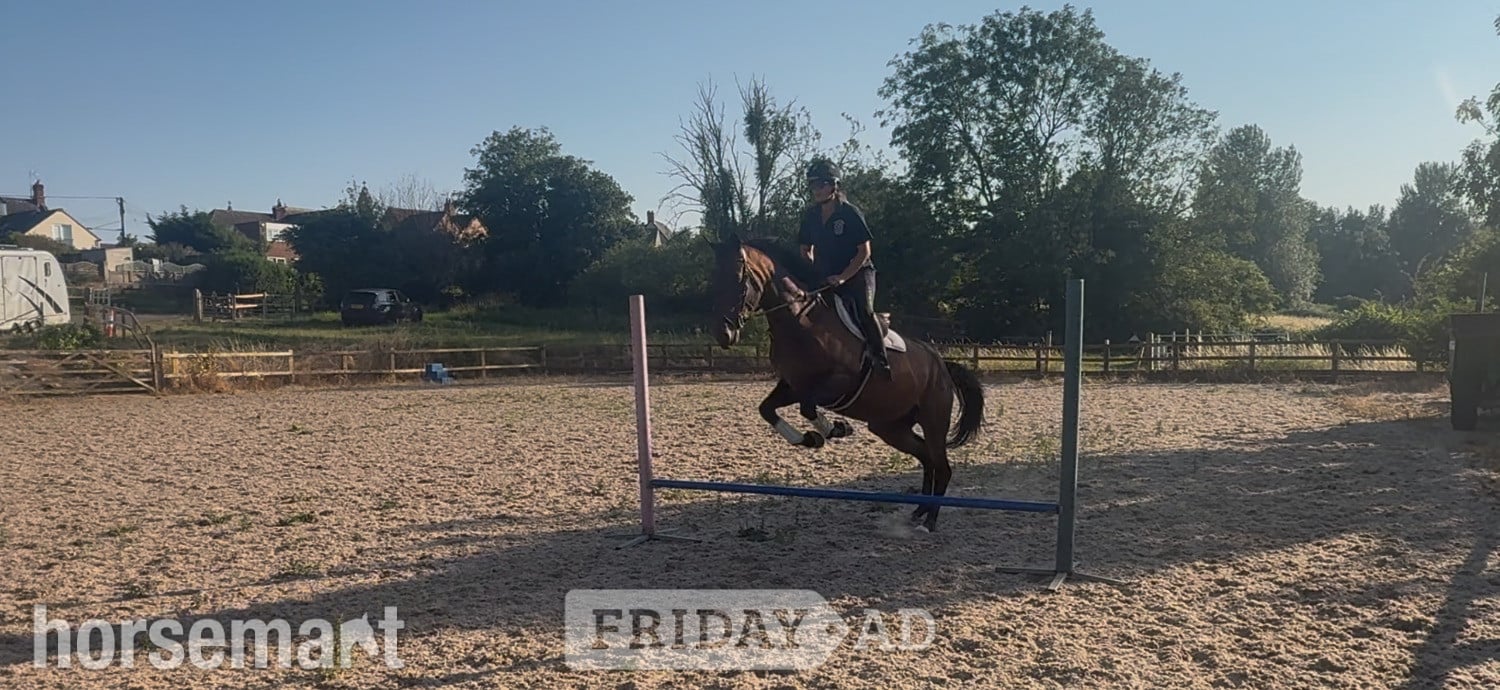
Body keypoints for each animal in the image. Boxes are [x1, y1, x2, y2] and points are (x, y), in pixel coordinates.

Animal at [709, 233, 986, 532]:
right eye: (714, 280)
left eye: (739, 280)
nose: (724, 334)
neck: (802, 321)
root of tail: (941, 365)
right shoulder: (792, 385)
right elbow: (767, 409)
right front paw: (809, 439)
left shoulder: (837, 383)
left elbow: (807, 407)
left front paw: (835, 429)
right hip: (890, 427)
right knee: (926, 458)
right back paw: (919, 511)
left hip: (933, 419)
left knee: (942, 466)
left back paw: (930, 521)